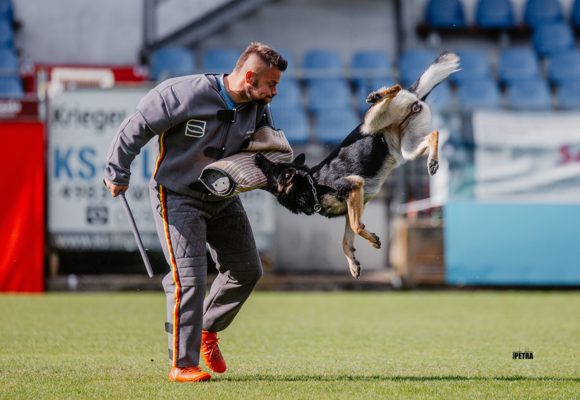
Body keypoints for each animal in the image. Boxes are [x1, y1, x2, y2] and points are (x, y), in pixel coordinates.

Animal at [256, 51, 460, 280]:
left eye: (272, 168)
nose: (257, 156)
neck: (311, 184)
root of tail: (413, 95)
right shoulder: (352, 205)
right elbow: (347, 240)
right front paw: (353, 263)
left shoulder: (354, 187)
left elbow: (355, 226)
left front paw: (372, 239)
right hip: (408, 148)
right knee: (433, 134)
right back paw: (432, 161)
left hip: (371, 124)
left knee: (395, 89)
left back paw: (377, 95)